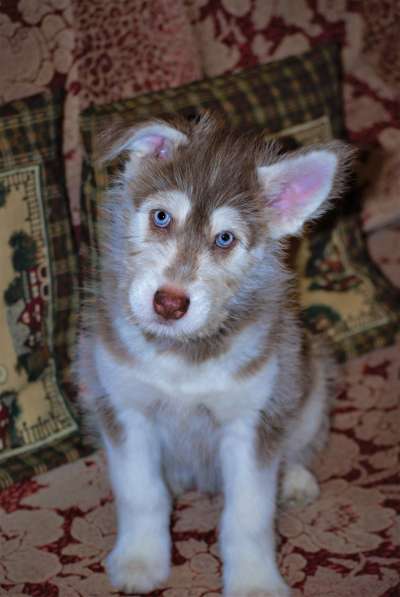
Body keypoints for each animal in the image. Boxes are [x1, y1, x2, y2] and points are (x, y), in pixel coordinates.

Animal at [76, 113, 352, 596]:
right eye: (162, 217)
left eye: (225, 238)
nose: (169, 303)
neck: (181, 358)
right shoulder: (126, 408)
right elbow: (140, 493)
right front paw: (140, 560)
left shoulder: (250, 421)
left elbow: (248, 516)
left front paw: (255, 582)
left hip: (309, 383)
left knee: (299, 444)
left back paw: (295, 479)